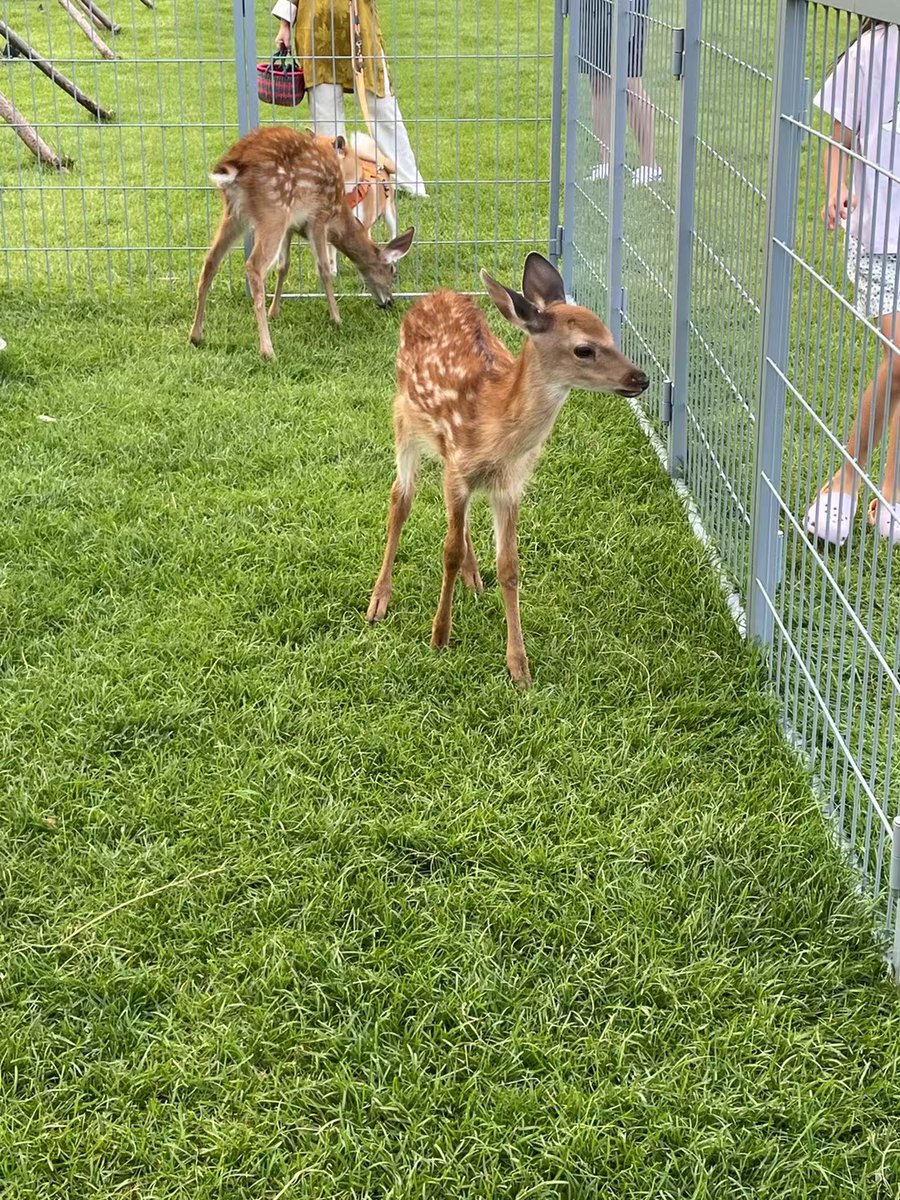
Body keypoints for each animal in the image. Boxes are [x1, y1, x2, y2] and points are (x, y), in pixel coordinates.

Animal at [189, 126, 415, 359]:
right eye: (391, 271)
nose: (389, 302)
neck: (339, 216)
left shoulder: (291, 226)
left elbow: (284, 266)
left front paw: (274, 312)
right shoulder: (318, 217)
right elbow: (324, 268)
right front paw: (336, 318)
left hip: (235, 214)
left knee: (210, 260)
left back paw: (196, 336)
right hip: (273, 211)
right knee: (254, 266)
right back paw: (267, 350)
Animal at [366, 252, 649, 688]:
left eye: (611, 335)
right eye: (584, 349)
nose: (641, 378)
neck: (493, 426)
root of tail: (436, 293)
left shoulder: (509, 485)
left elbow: (509, 566)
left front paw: (519, 666)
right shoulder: (458, 469)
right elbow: (447, 551)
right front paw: (439, 635)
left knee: (456, 521)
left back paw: (474, 577)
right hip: (405, 419)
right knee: (400, 499)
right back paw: (379, 599)